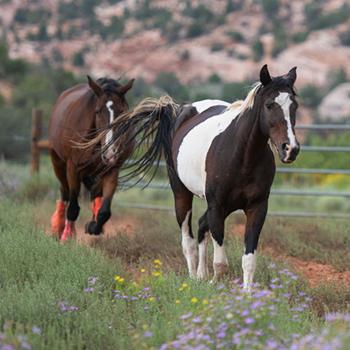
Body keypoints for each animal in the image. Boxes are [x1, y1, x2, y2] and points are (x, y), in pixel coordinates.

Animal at [49, 75, 135, 242]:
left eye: (123, 112)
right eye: (97, 111)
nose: (110, 152)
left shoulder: (112, 168)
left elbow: (105, 210)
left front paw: (94, 226)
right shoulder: (73, 167)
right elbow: (73, 206)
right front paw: (67, 236)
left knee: (95, 191)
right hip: (58, 162)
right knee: (65, 192)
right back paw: (58, 227)